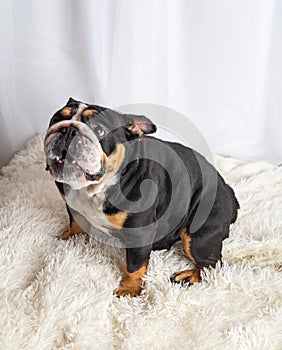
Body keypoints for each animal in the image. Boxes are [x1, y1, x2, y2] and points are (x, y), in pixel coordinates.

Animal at [44, 97, 240, 296]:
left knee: (213, 264)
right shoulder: (72, 206)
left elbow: (134, 266)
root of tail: (228, 191)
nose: (68, 129)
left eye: (99, 130)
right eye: (56, 119)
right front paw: (69, 238)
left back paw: (189, 276)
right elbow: (75, 222)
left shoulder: (139, 233)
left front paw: (129, 290)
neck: (94, 189)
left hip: (199, 235)